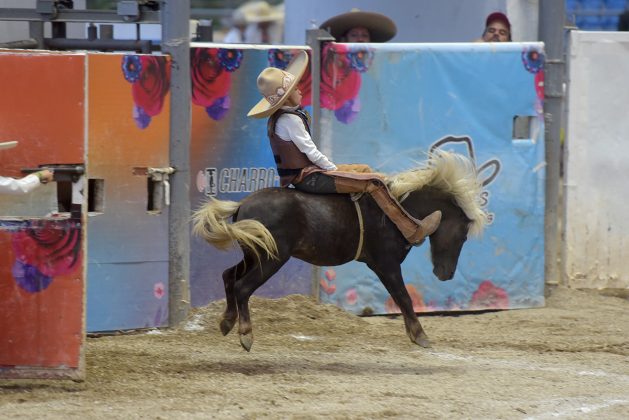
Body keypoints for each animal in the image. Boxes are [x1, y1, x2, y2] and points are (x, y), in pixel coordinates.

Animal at [194, 151, 488, 352]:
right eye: (463, 235)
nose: (446, 275)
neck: (403, 211)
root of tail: (242, 205)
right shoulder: (386, 264)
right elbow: (403, 297)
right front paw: (420, 336)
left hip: (254, 255)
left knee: (228, 276)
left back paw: (226, 322)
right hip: (271, 259)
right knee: (242, 286)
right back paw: (245, 334)